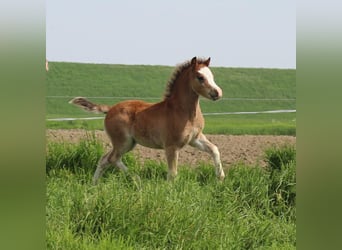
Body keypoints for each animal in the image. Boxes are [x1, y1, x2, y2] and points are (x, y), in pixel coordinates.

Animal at [69, 57, 224, 184]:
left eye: (212, 76)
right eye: (200, 77)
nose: (217, 93)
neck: (182, 111)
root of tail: (111, 108)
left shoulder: (195, 139)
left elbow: (214, 149)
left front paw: (220, 177)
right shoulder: (171, 146)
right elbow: (172, 174)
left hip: (127, 143)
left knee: (104, 159)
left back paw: (94, 185)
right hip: (124, 142)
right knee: (112, 159)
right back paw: (137, 180)